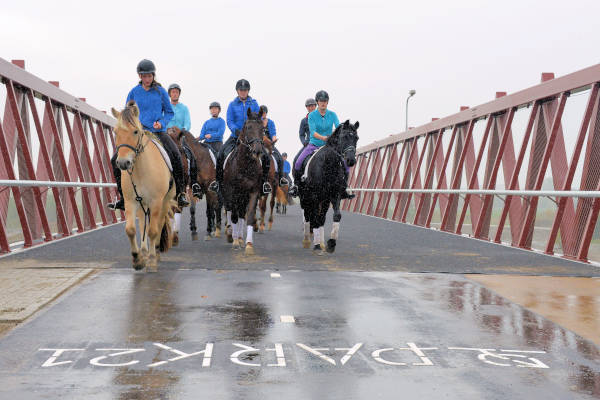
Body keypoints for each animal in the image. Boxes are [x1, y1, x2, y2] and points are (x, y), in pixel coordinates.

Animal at [110, 101, 175, 274]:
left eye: (135, 131)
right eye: (115, 132)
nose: (123, 163)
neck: (140, 170)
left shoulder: (156, 201)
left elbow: (153, 230)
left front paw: (151, 261)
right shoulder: (131, 201)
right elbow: (131, 229)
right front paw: (138, 259)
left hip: (165, 201)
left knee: (158, 225)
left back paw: (155, 252)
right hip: (142, 203)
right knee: (142, 223)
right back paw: (145, 252)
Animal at [221, 108, 266, 255]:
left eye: (263, 129)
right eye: (248, 127)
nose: (257, 151)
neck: (245, 165)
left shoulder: (253, 192)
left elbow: (249, 215)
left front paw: (248, 244)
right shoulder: (231, 192)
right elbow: (233, 215)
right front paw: (235, 242)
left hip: (243, 196)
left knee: (241, 213)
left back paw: (240, 238)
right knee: (231, 211)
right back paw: (232, 235)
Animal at [298, 120, 358, 255]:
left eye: (356, 138)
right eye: (344, 137)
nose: (351, 160)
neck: (328, 164)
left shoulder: (334, 195)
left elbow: (336, 216)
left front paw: (331, 243)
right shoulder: (314, 196)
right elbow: (314, 218)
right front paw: (316, 246)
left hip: (324, 200)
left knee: (321, 218)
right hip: (305, 197)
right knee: (307, 215)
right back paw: (306, 240)